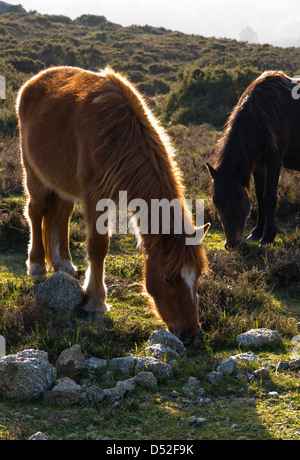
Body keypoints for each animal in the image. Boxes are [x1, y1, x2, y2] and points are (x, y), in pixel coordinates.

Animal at [15, 64, 209, 344]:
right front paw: (96, 303)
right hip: (34, 172)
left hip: (63, 181)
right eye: (169, 279)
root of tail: (35, 80)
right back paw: (37, 265)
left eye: (198, 275)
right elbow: (98, 247)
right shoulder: (95, 196)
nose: (191, 334)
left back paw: (63, 263)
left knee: (61, 214)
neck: (118, 136)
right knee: (36, 211)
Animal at [207, 70, 300, 248]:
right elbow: (260, 196)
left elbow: (269, 197)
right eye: (216, 202)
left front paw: (268, 236)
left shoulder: (273, 159)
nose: (231, 243)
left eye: (239, 200)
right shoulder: (258, 164)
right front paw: (257, 232)